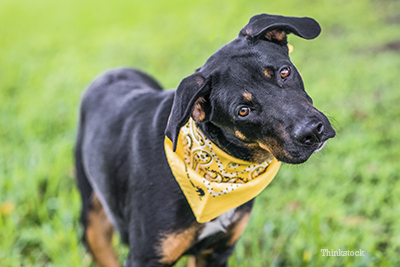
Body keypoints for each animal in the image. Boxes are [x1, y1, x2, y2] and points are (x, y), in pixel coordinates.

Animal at [74, 14, 334, 267]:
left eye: (284, 72)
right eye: (243, 111)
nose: (312, 131)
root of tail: (111, 72)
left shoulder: (216, 252)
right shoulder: (146, 258)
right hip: (92, 218)